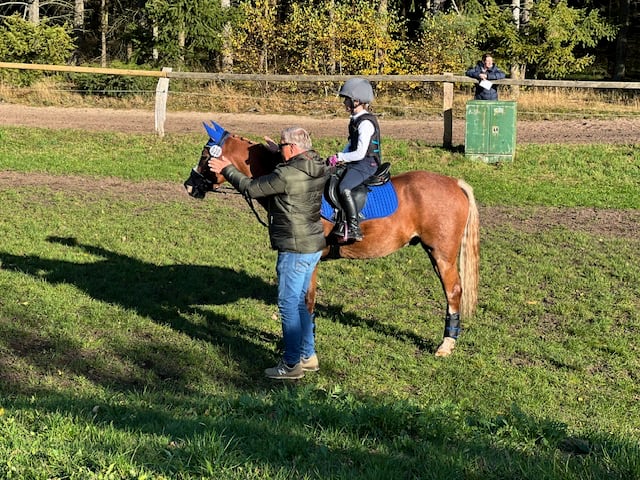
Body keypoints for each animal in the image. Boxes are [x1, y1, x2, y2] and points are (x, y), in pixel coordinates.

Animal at [182, 122, 478, 356]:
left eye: (206, 155)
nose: (188, 186)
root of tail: (454, 183)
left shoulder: (308, 258)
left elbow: (306, 300)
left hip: (442, 254)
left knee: (454, 291)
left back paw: (446, 344)